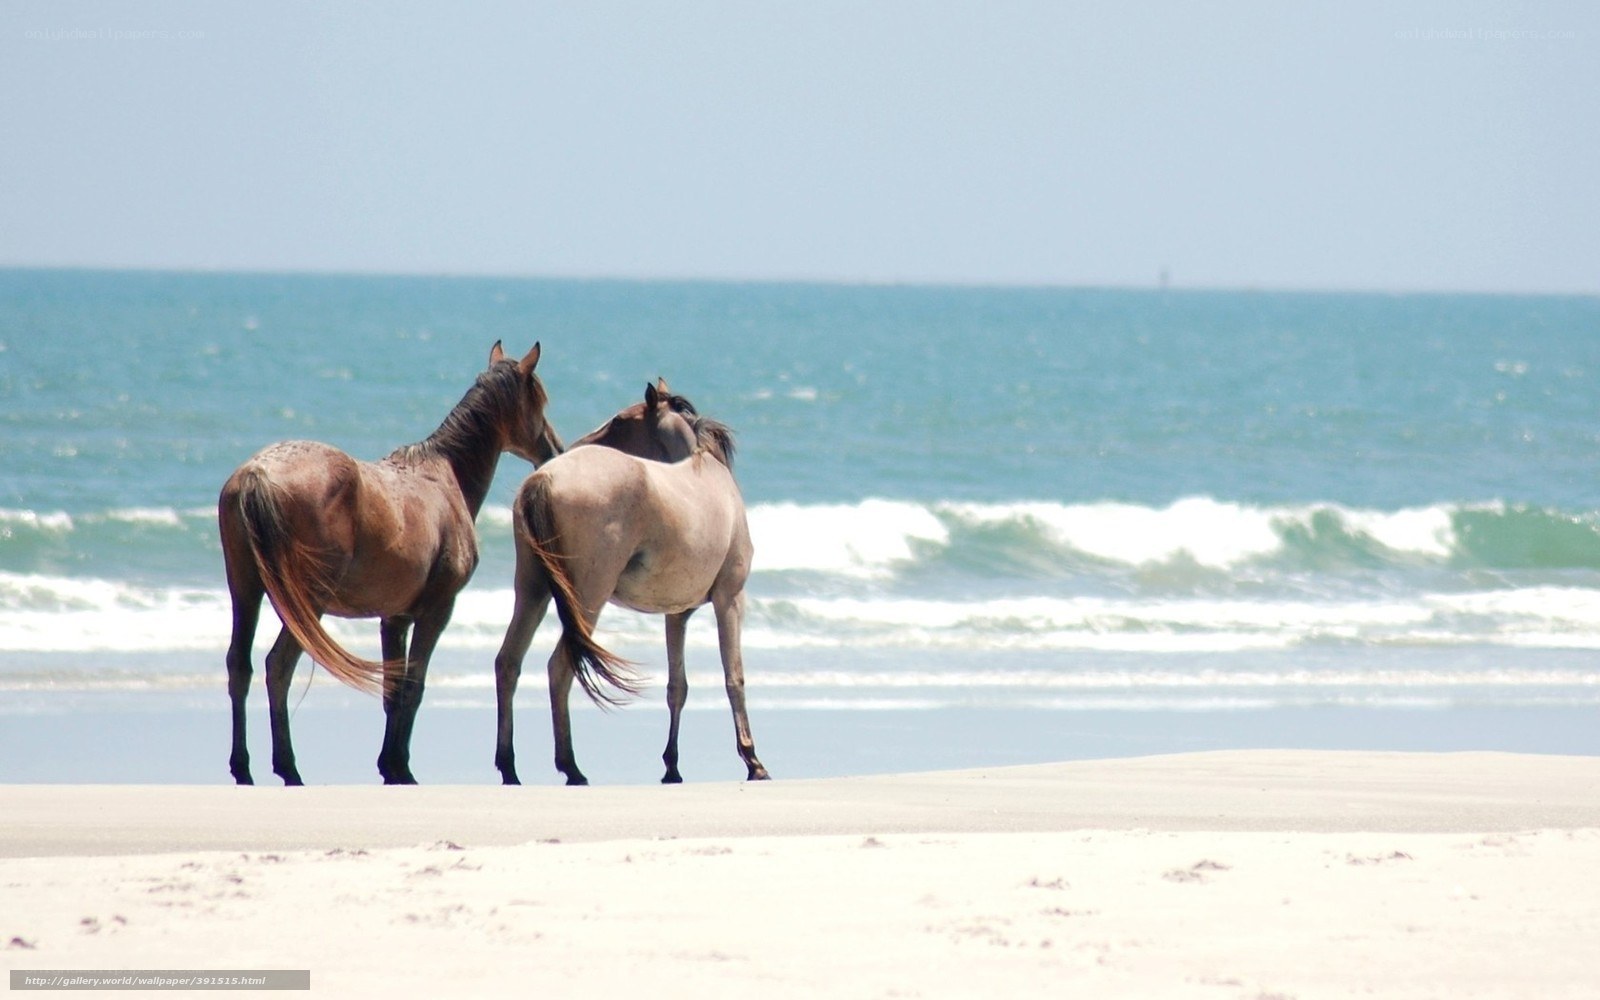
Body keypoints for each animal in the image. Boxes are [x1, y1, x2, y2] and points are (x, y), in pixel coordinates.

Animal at [219, 341, 562, 786]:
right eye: (539, 400)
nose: (554, 450)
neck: (443, 476)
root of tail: (257, 474)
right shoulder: (436, 610)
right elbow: (412, 685)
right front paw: (401, 767)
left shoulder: (394, 618)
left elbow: (393, 690)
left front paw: (389, 765)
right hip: (306, 604)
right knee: (278, 667)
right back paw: (288, 769)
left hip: (245, 591)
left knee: (239, 667)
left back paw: (242, 768)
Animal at [492, 379, 770, 786]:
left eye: (620, 420)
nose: (565, 446)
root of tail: (543, 479)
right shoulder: (730, 599)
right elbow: (734, 677)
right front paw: (752, 760)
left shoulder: (677, 614)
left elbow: (677, 687)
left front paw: (672, 766)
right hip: (587, 599)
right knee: (560, 667)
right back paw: (571, 767)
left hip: (532, 592)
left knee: (508, 663)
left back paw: (509, 767)